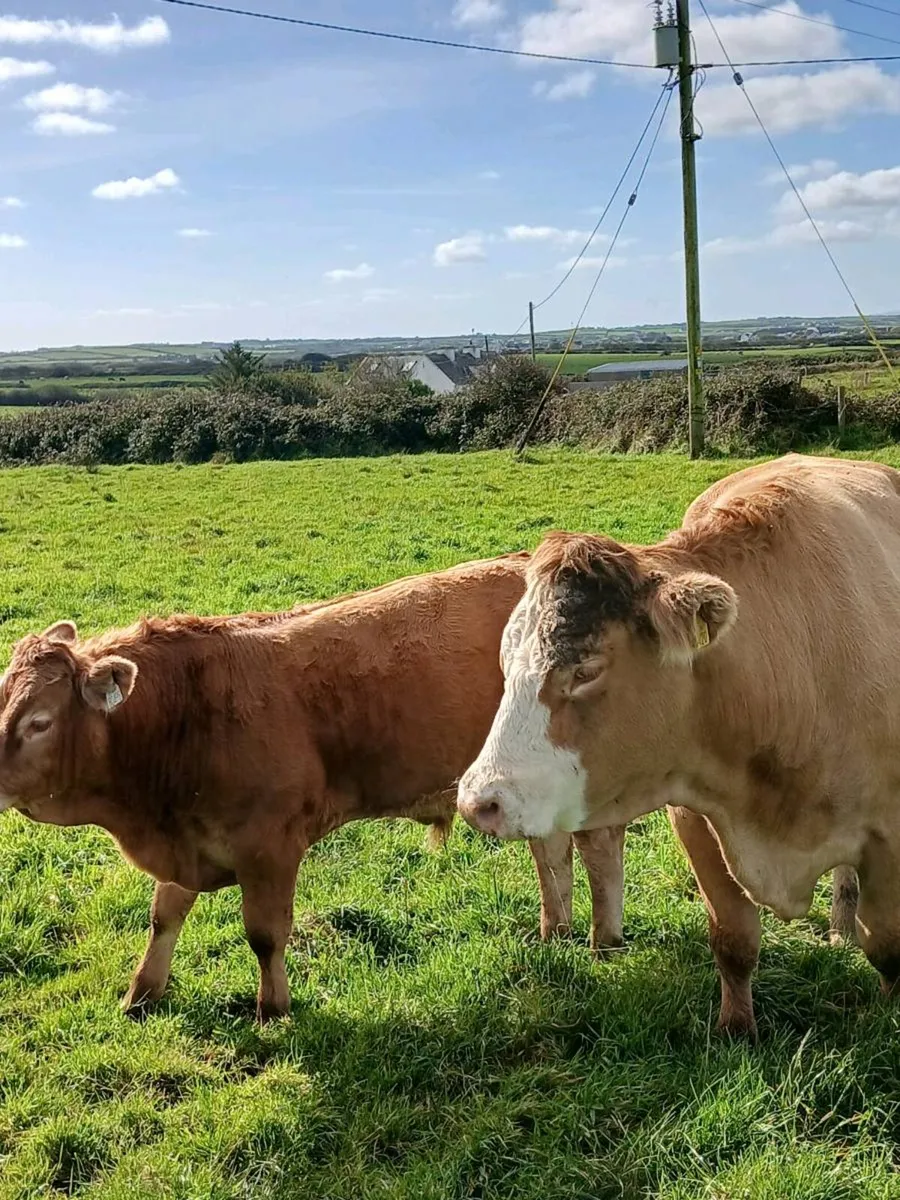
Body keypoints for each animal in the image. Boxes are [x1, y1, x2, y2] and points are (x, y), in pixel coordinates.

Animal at [0, 554, 626, 1022]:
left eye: (39, 722)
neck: (185, 714)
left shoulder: (270, 846)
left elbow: (264, 934)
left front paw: (272, 1009)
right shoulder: (186, 840)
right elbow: (164, 917)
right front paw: (141, 994)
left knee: (596, 848)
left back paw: (604, 942)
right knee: (551, 851)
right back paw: (553, 932)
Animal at [457, 454, 893, 1038]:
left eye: (586, 670)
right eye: (506, 662)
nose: (478, 801)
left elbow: (887, 943)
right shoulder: (698, 816)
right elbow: (733, 938)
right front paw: (736, 1031)